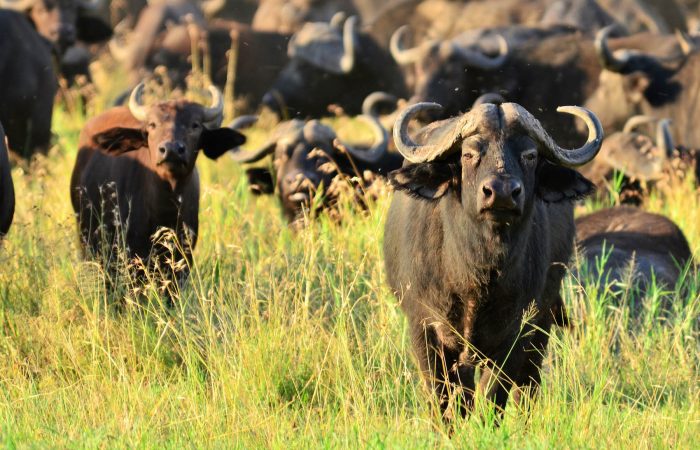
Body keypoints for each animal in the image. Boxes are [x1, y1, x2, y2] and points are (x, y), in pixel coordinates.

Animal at [384, 101, 603, 418]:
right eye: (468, 153)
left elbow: (493, 396)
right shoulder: (424, 328)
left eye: (530, 155)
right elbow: (443, 397)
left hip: (543, 323)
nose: (501, 193)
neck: (477, 274)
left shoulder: (517, 333)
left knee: (527, 386)